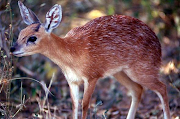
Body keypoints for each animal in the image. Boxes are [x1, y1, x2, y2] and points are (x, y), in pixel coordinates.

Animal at [10, 1, 171, 119]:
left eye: (32, 38)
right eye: (20, 33)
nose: (12, 49)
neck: (73, 54)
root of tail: (159, 45)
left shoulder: (92, 76)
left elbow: (85, 104)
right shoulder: (72, 80)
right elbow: (75, 105)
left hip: (143, 69)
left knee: (162, 87)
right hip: (120, 72)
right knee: (137, 89)